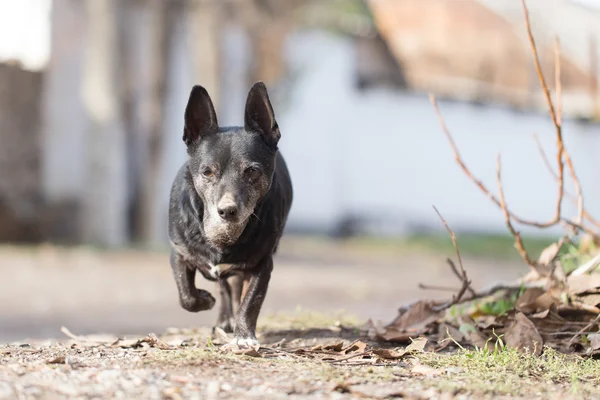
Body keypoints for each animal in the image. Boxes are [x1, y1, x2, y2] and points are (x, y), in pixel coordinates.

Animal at [168, 81, 292, 346]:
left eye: (252, 171)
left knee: (234, 291)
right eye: (207, 172)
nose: (226, 211)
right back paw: (223, 319)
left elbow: (250, 301)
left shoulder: (261, 265)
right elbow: (186, 296)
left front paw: (244, 336)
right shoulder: (179, 254)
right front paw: (204, 300)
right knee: (222, 289)